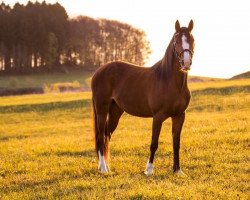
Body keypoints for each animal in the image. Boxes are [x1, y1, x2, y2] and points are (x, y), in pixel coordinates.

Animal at [91, 19, 194, 175]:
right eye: (176, 41)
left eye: (192, 40)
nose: (186, 63)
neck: (170, 81)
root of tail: (99, 71)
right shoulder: (158, 116)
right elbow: (154, 144)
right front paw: (149, 170)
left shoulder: (180, 116)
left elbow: (176, 143)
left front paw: (177, 170)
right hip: (102, 110)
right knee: (100, 137)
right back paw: (103, 168)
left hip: (115, 111)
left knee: (106, 136)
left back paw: (106, 167)